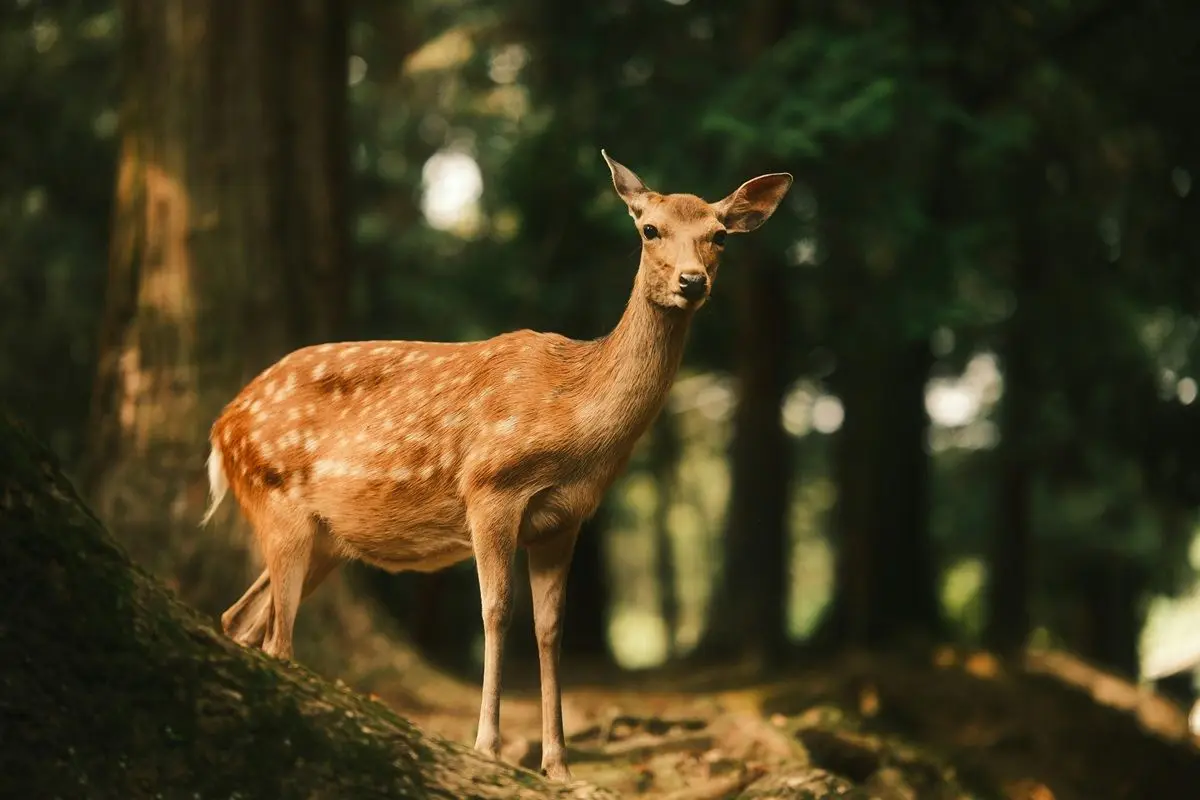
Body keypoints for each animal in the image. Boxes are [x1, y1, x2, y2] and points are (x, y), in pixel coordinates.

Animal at [200, 150, 792, 781]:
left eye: (719, 236)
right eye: (649, 229)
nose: (691, 281)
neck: (575, 425)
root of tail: (220, 429)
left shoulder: (564, 519)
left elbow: (550, 628)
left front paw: (559, 764)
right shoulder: (489, 488)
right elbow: (496, 612)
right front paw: (487, 746)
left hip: (326, 538)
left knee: (241, 618)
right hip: (274, 494)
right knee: (276, 639)